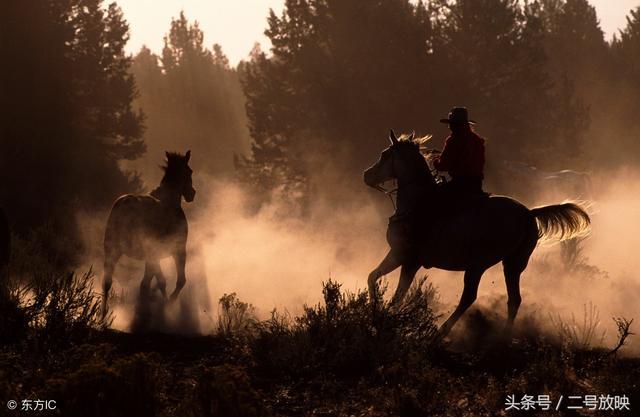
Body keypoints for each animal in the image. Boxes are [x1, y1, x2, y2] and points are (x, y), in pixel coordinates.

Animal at [101, 151, 196, 316]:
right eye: (189, 171)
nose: (192, 194)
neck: (170, 201)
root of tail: (123, 206)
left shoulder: (151, 257)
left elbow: (150, 282)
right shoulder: (178, 250)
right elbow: (178, 281)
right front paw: (168, 304)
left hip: (113, 250)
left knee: (108, 282)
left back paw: (103, 314)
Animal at [364, 132, 592, 336]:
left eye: (385, 154)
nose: (367, 175)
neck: (418, 202)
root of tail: (529, 213)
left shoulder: (408, 259)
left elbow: (395, 294)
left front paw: (382, 319)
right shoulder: (401, 256)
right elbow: (374, 278)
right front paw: (376, 313)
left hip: (478, 265)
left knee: (469, 297)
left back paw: (440, 333)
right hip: (513, 264)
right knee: (513, 299)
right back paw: (502, 339)